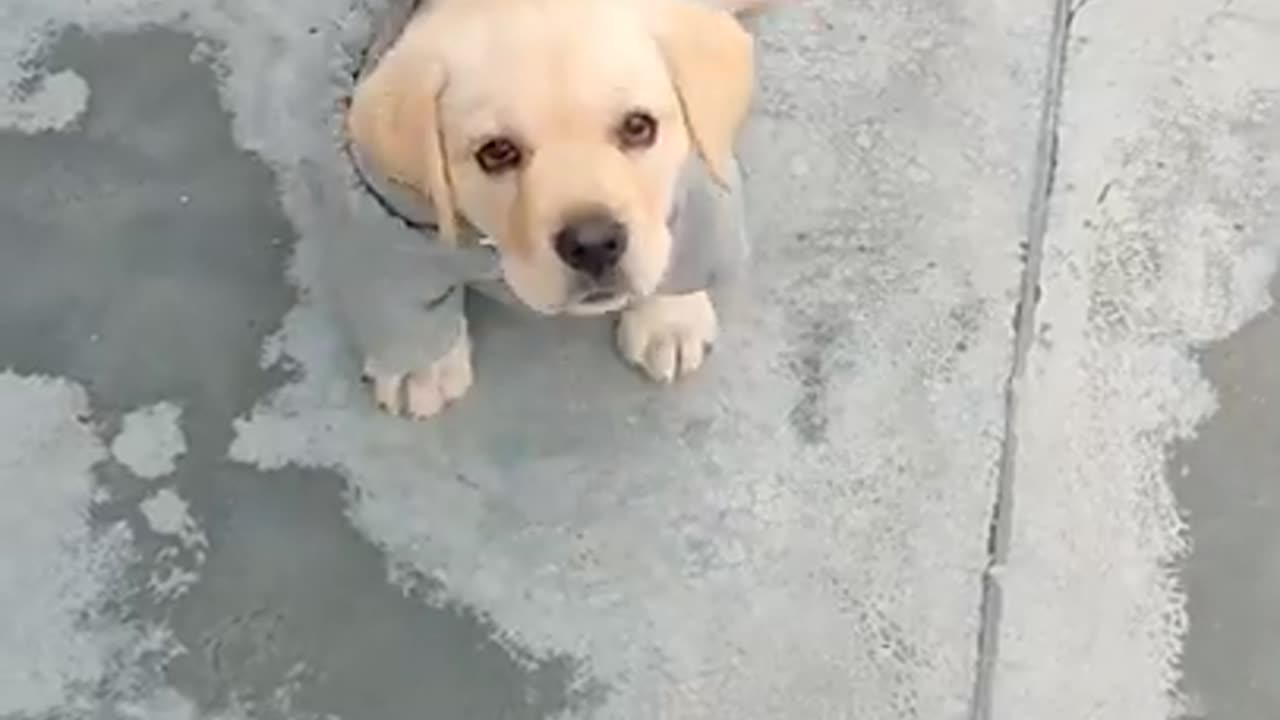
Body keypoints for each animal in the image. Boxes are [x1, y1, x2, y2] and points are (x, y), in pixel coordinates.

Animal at [348, 0, 768, 415]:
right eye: (496, 152)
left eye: (638, 127)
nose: (595, 245)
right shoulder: (385, 217)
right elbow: (400, 292)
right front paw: (421, 367)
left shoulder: (699, 188)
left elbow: (690, 250)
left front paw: (670, 321)